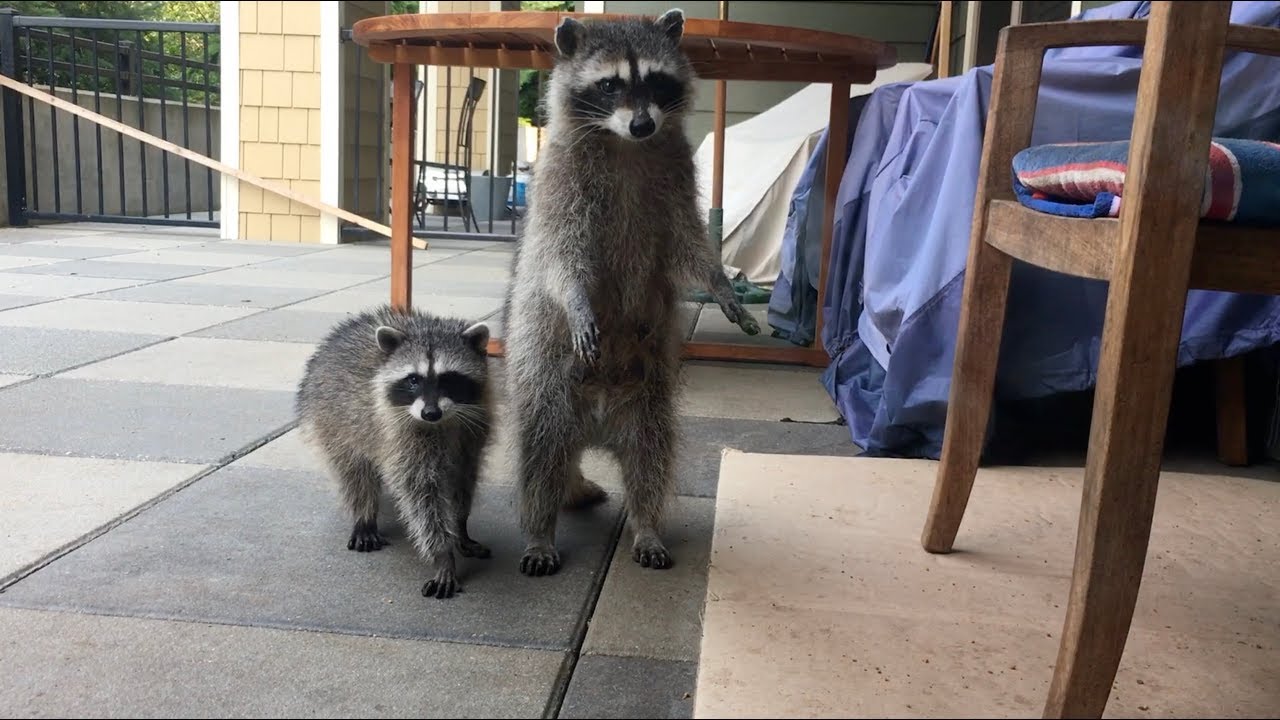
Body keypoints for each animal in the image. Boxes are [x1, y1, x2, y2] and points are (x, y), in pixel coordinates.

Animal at [296, 304, 494, 599]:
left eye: (449, 379)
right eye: (413, 380)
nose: (430, 413)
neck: (443, 422)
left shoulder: (472, 433)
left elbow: (463, 480)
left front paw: (460, 527)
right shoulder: (402, 437)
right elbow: (421, 495)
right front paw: (442, 553)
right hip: (333, 419)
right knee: (354, 472)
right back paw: (364, 514)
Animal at [501, 8, 759, 577]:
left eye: (656, 81)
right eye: (609, 84)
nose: (643, 124)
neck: (625, 144)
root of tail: (595, 428)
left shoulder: (676, 179)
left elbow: (688, 245)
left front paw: (719, 283)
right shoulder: (560, 185)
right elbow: (561, 257)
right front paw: (576, 300)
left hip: (647, 403)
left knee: (650, 461)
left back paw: (646, 525)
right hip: (547, 386)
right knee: (540, 461)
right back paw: (538, 531)